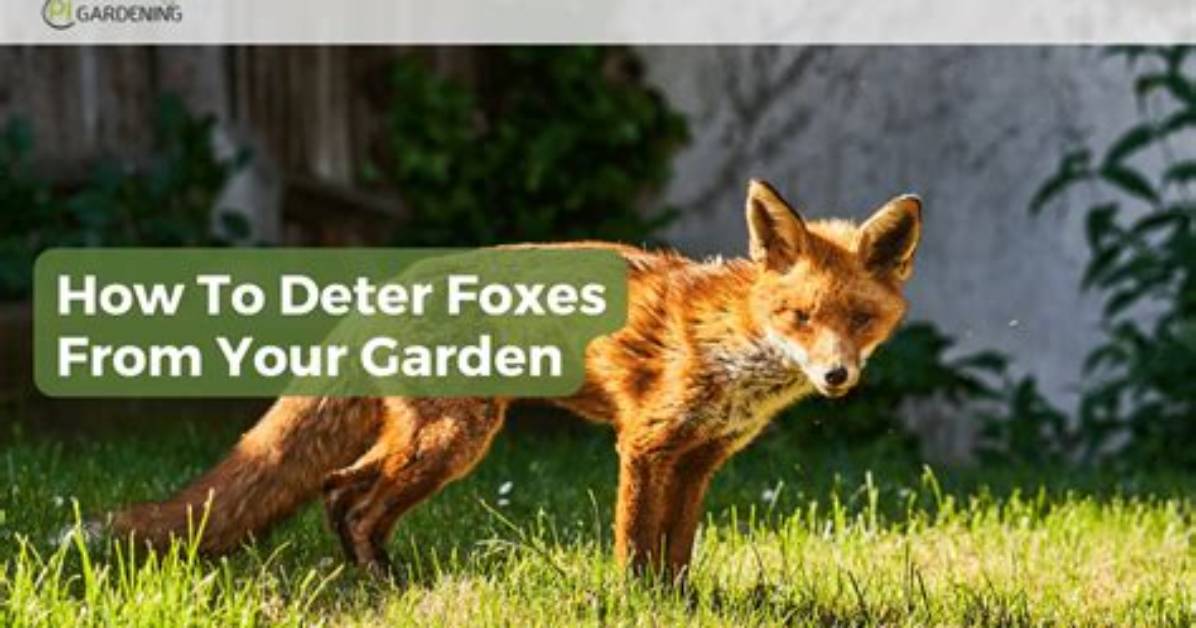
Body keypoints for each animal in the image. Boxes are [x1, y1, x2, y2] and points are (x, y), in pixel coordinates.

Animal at [107, 179, 922, 578]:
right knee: (355, 499)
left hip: (434, 436)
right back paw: (384, 583)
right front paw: (636, 602)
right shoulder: (647, 443)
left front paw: (680, 602)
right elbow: (635, 544)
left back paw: (376, 577)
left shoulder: (700, 459)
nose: (836, 376)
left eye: (859, 319)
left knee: (339, 488)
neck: (738, 344)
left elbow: (676, 550)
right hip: (454, 437)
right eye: (798, 315)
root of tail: (391, 282)